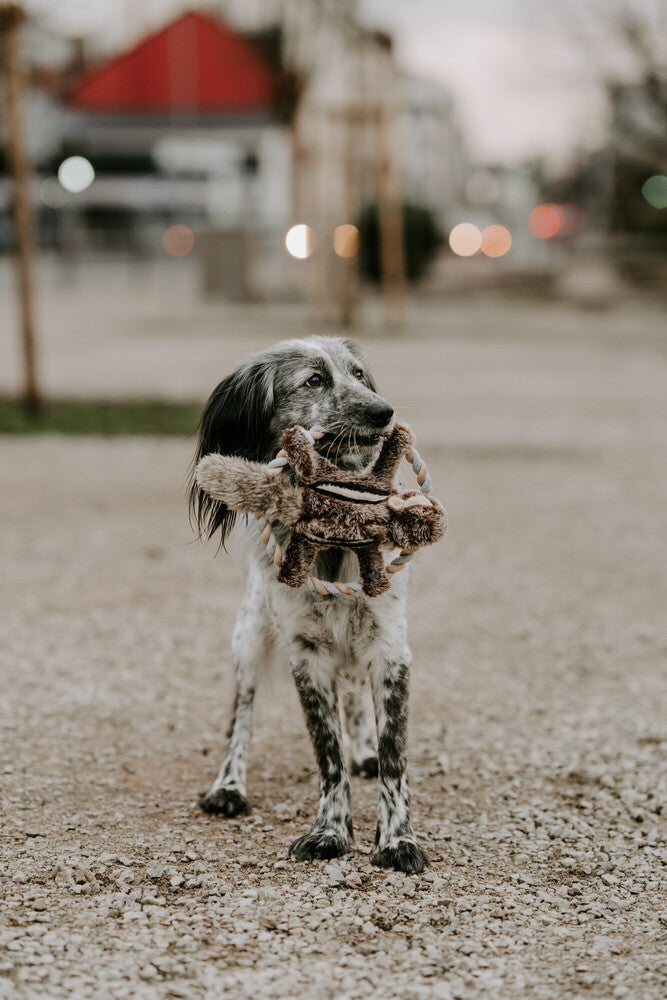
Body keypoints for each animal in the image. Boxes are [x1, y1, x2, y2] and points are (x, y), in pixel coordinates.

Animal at [189, 334, 428, 868]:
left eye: (358, 374)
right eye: (314, 380)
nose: (385, 411)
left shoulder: (390, 649)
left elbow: (394, 757)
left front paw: (398, 841)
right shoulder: (307, 654)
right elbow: (327, 754)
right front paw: (330, 832)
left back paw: (364, 750)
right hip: (249, 637)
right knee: (241, 713)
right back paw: (228, 785)